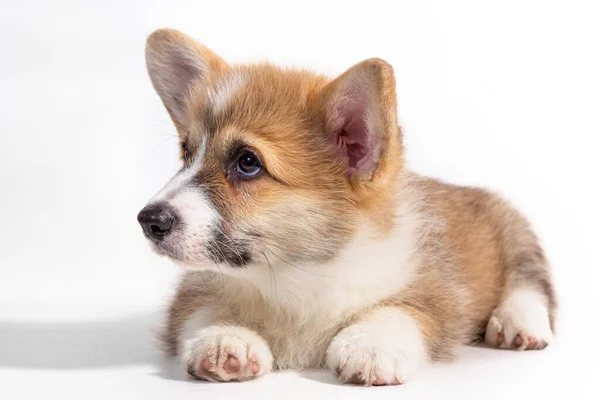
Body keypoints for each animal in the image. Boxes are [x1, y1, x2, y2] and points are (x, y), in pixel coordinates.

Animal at [138, 27, 556, 384]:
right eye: (187, 153)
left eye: (247, 162)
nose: (148, 220)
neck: (292, 275)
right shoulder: (193, 294)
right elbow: (205, 309)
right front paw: (225, 338)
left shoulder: (436, 293)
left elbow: (402, 310)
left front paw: (370, 345)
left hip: (513, 230)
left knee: (530, 281)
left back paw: (519, 324)